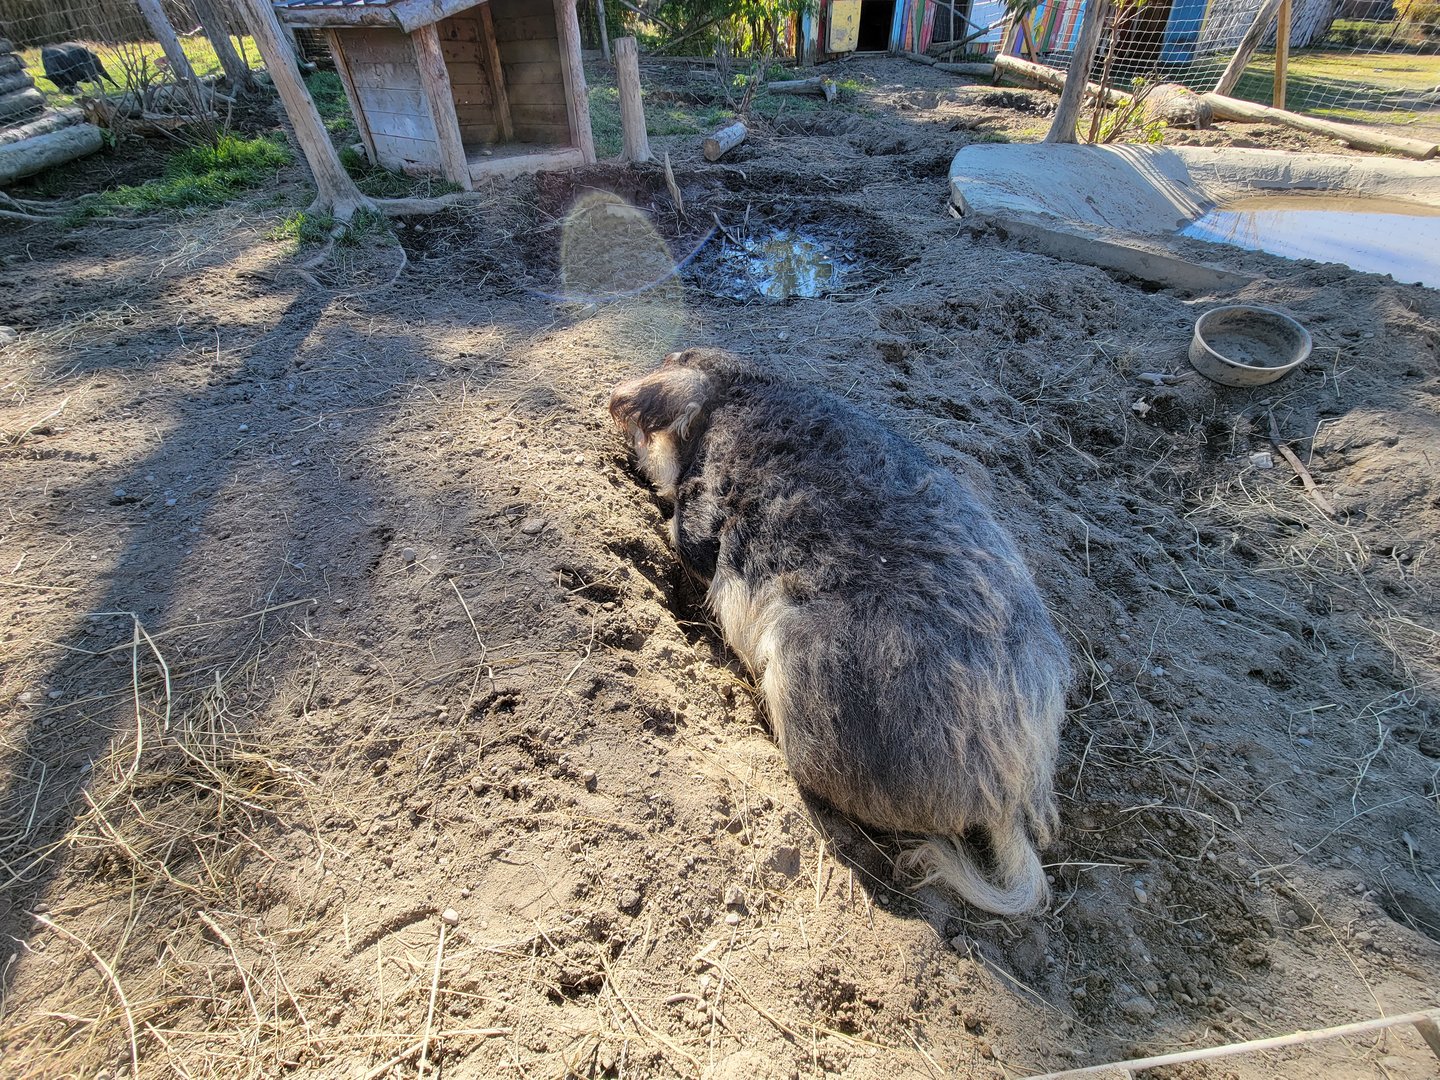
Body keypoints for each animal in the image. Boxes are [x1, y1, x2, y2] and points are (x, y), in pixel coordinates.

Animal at [609, 348, 1070, 914]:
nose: (615, 407)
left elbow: (688, 539)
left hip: (808, 675)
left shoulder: (704, 505)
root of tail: (1009, 790)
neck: (738, 393)